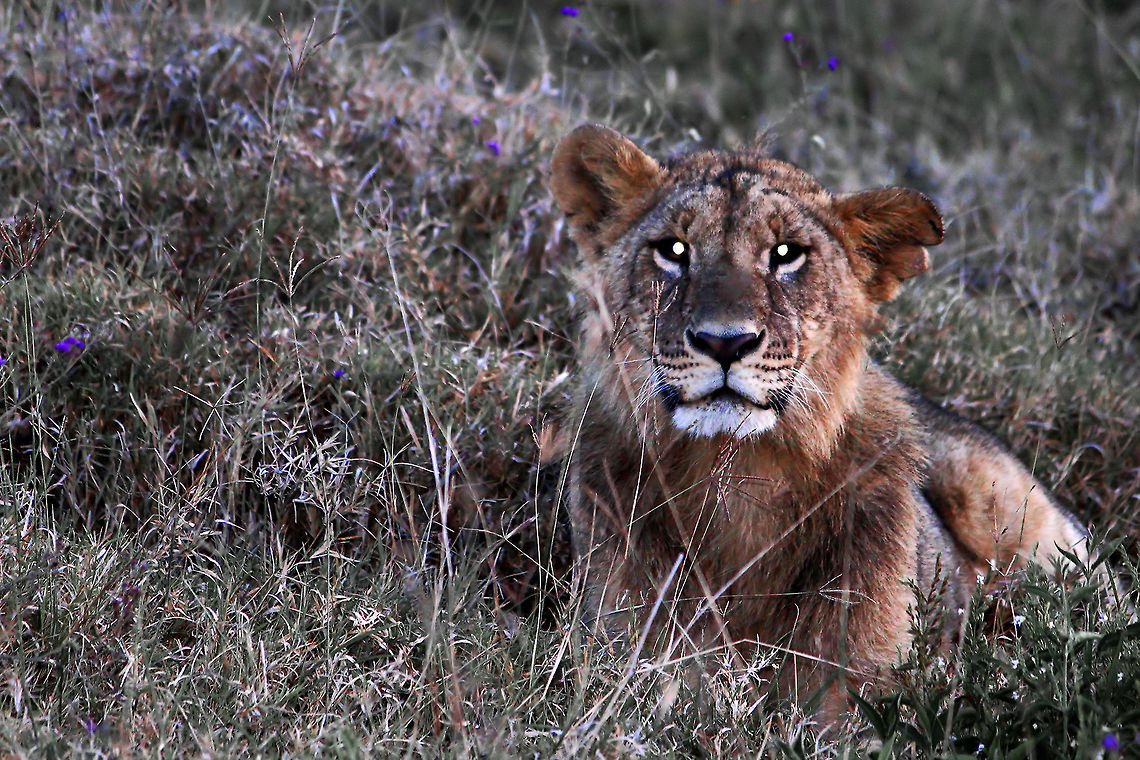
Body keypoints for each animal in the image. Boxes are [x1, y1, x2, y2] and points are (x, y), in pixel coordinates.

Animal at [549, 124, 1094, 713]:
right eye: (673, 250)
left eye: (787, 254)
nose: (724, 342)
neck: (737, 480)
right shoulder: (621, 651)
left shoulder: (868, 686)